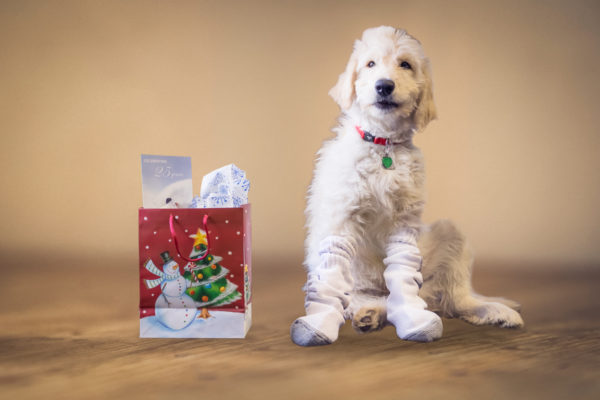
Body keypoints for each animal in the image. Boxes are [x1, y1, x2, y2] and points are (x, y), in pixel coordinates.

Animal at [292, 26, 524, 346]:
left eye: (405, 64)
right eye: (370, 64)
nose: (384, 86)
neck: (383, 144)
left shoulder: (404, 221)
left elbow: (402, 273)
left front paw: (414, 319)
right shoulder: (341, 219)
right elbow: (332, 276)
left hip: (451, 237)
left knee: (454, 299)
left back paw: (494, 310)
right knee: (359, 298)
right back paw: (369, 313)